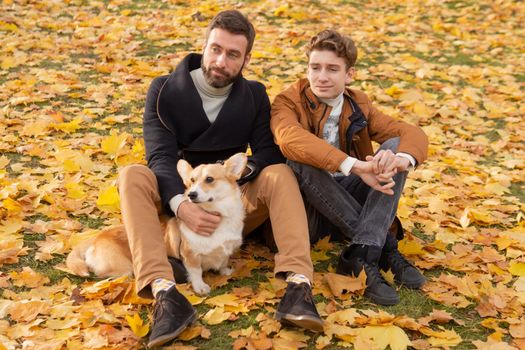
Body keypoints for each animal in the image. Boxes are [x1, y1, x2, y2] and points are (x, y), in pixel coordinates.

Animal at [65, 153, 246, 296]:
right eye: (192, 181)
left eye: (209, 179)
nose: (191, 194)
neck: (218, 216)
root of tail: (96, 238)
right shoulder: (190, 255)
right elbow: (196, 272)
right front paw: (200, 287)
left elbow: (223, 261)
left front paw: (225, 271)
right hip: (124, 268)